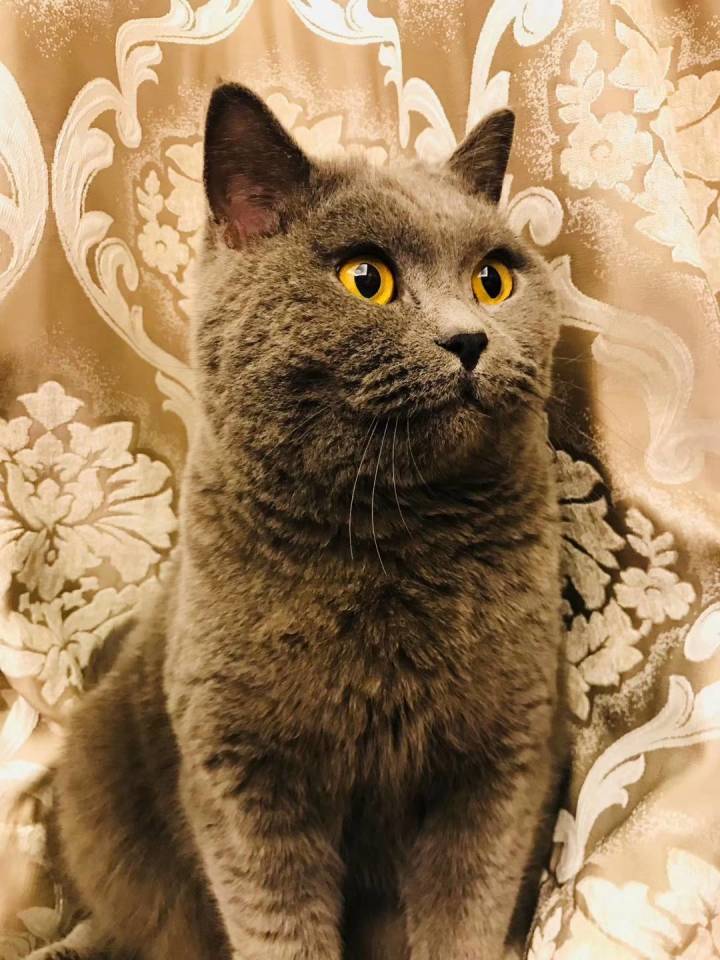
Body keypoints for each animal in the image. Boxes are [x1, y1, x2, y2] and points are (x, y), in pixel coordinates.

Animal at [27, 82, 563, 960]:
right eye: (365, 278)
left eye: (491, 280)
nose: (470, 338)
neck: (393, 544)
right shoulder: (243, 772)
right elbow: (277, 925)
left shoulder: (500, 756)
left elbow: (466, 912)